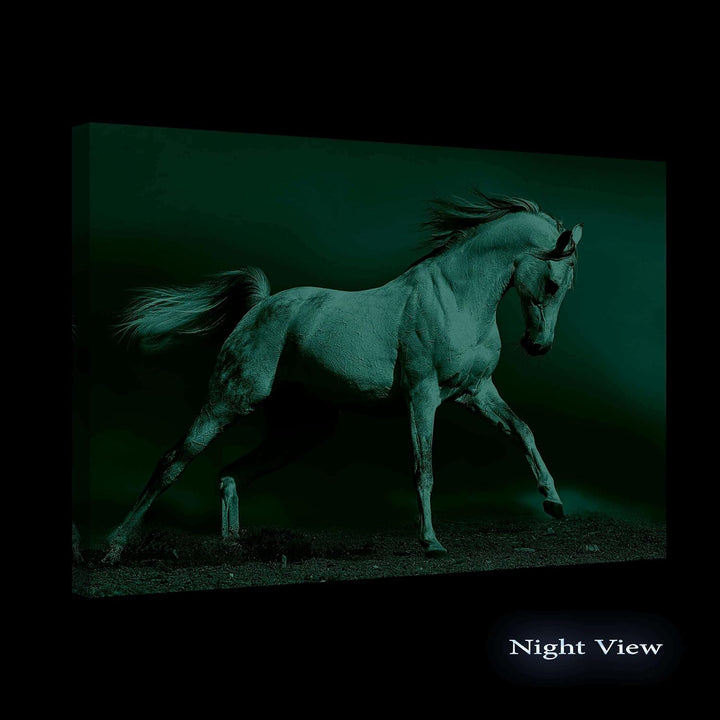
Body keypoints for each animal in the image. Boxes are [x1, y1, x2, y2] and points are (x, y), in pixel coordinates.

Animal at [103, 190, 582, 563]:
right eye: (554, 284)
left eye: (568, 287)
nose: (538, 345)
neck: (455, 299)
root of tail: (259, 307)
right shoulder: (422, 396)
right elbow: (423, 467)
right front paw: (431, 542)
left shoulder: (476, 392)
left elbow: (522, 431)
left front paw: (554, 502)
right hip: (229, 400)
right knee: (173, 462)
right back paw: (114, 548)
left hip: (301, 430)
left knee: (231, 474)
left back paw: (232, 550)